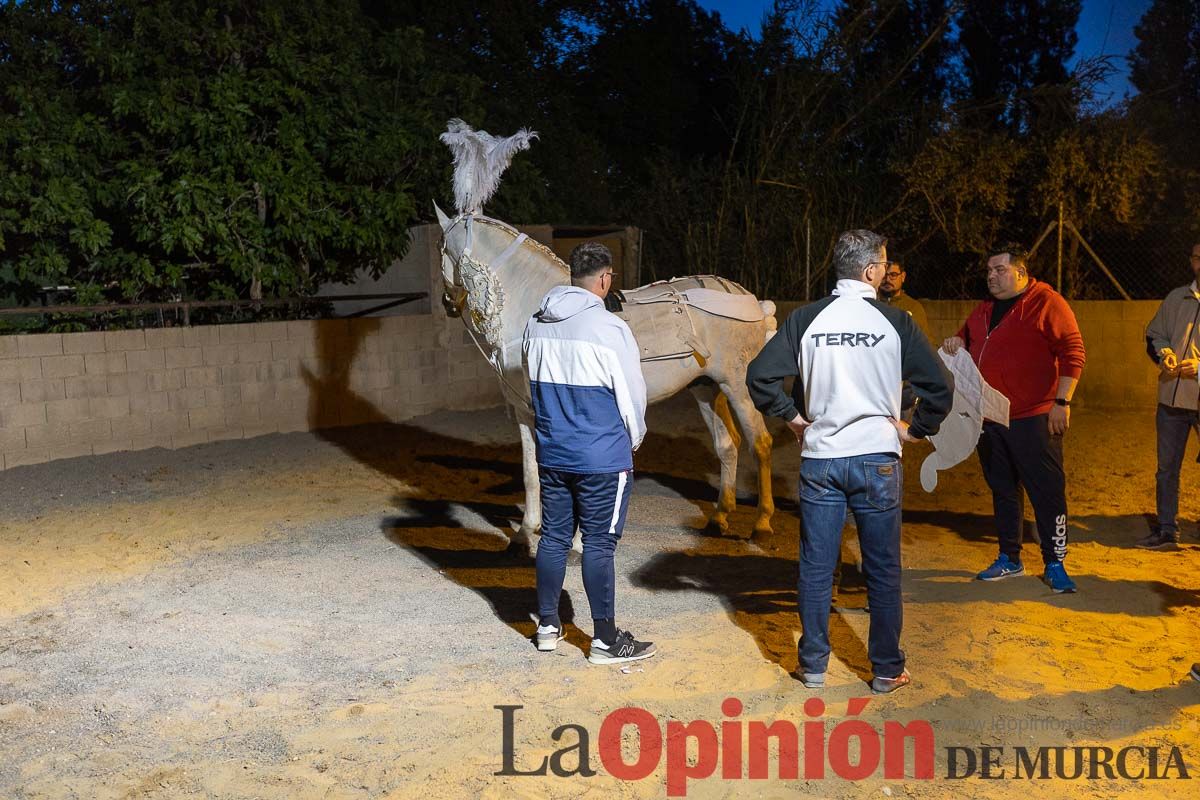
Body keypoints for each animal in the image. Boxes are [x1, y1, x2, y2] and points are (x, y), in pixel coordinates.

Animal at [439, 205, 777, 551]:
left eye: (441, 245)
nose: (449, 302)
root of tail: (751, 300)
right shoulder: (525, 410)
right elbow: (531, 472)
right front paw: (525, 532)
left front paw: (576, 542)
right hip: (707, 387)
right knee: (728, 446)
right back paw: (719, 516)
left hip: (738, 385)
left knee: (760, 444)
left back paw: (762, 524)